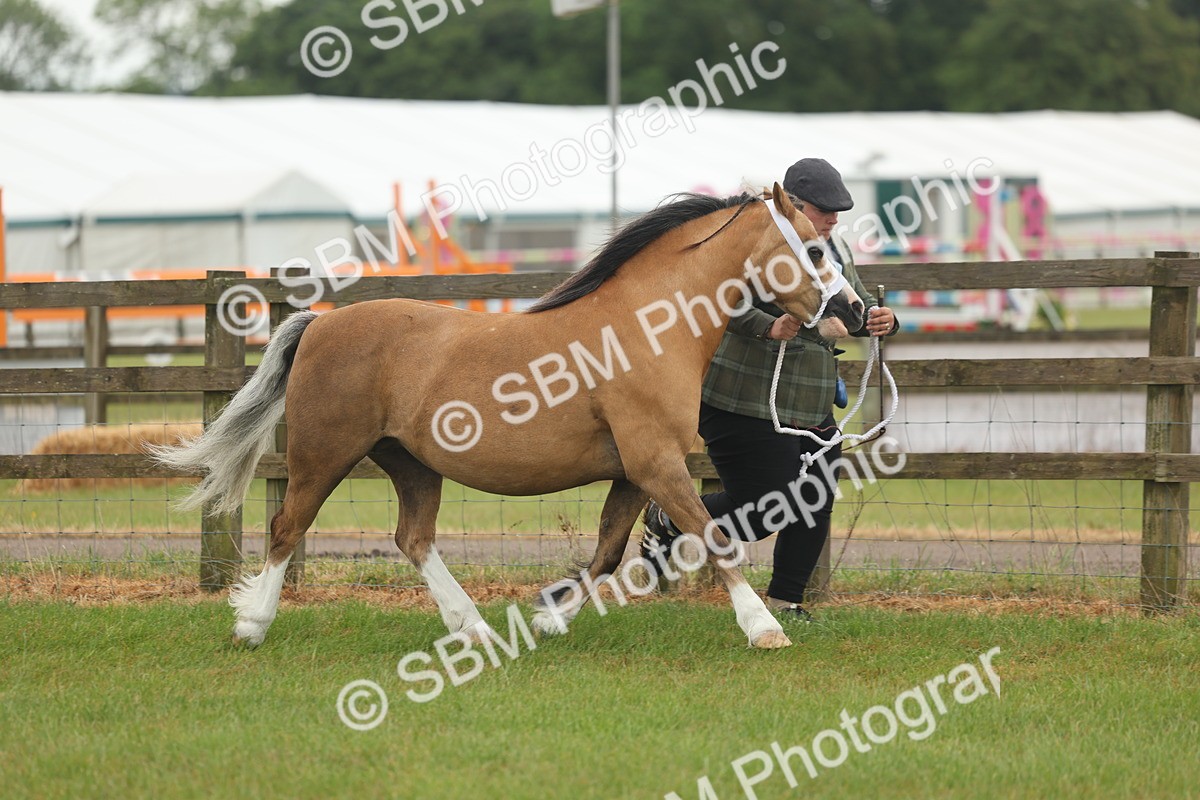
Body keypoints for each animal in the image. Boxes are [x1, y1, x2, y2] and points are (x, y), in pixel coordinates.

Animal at [153, 183, 863, 650]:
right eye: (814, 249)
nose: (854, 312)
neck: (646, 328)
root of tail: (321, 324)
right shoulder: (657, 464)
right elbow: (714, 538)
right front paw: (763, 628)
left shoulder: (634, 473)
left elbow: (608, 551)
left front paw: (548, 618)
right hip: (323, 454)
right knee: (286, 528)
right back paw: (252, 625)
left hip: (409, 462)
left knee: (413, 539)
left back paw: (475, 629)